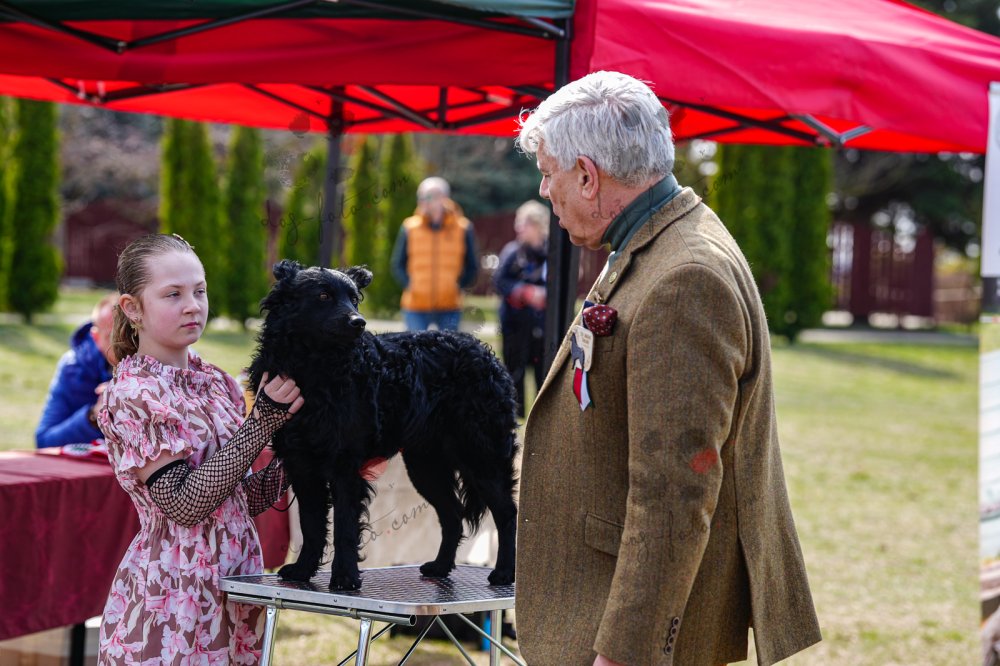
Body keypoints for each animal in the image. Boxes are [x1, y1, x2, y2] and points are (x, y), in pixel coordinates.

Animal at [248, 260, 519, 591]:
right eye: (323, 296)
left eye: (354, 299)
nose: (359, 322)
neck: (314, 368)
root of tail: (486, 354)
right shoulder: (301, 466)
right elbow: (311, 524)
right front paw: (303, 570)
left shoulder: (344, 467)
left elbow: (345, 527)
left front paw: (345, 577)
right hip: (426, 465)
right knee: (453, 515)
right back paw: (440, 566)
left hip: (481, 456)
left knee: (506, 513)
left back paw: (504, 572)